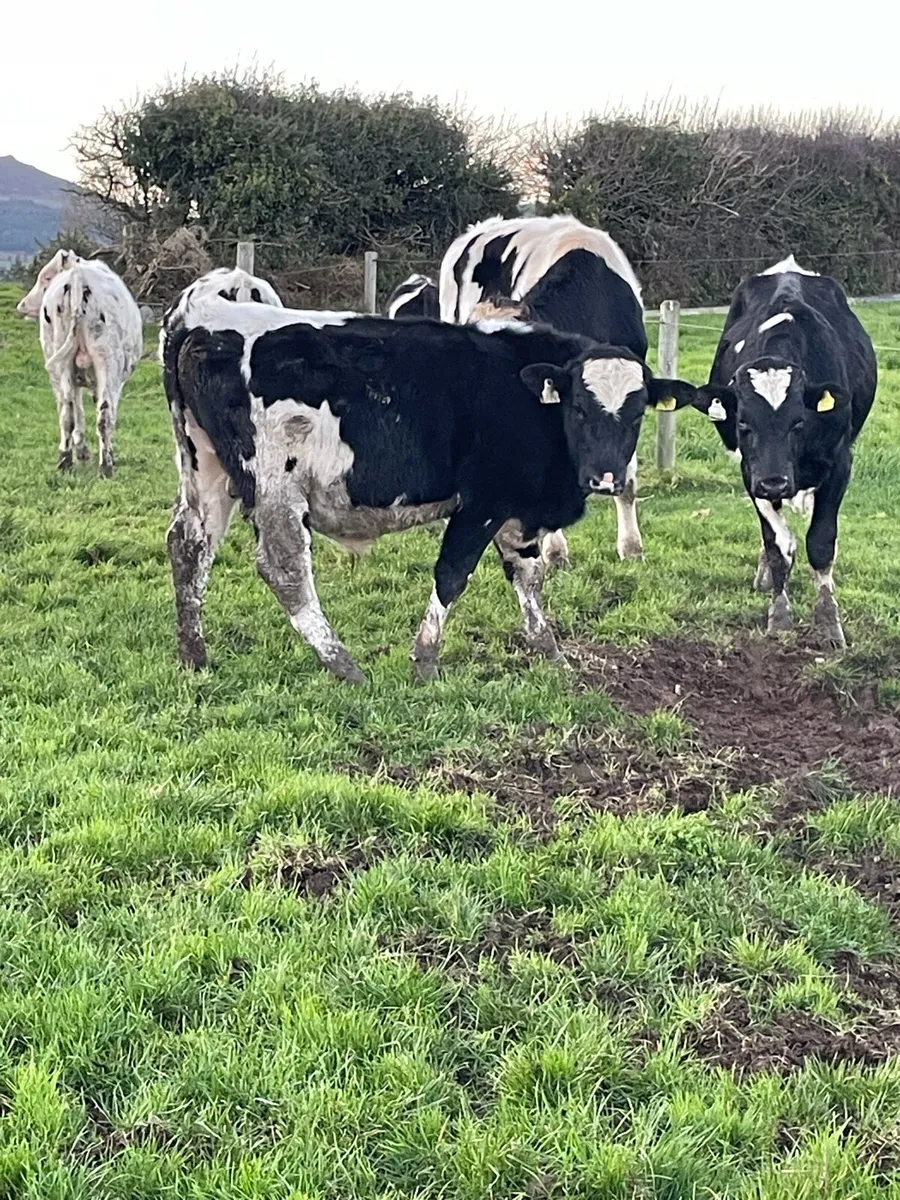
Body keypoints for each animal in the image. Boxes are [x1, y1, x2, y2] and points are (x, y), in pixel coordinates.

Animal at [16, 250, 142, 474]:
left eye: (46, 277)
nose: (21, 305)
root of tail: (78, 275)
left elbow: (78, 410)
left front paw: (82, 450)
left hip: (61, 362)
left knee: (67, 411)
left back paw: (65, 460)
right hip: (107, 361)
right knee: (104, 413)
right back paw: (106, 465)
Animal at [162, 295, 697, 682]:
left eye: (637, 414)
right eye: (580, 409)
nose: (605, 478)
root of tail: (197, 317)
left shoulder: (518, 510)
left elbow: (530, 577)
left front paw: (551, 654)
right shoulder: (482, 502)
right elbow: (452, 575)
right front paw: (425, 660)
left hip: (206, 473)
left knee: (189, 546)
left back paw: (194, 655)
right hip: (276, 488)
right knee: (285, 569)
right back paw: (343, 664)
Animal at [689, 255, 877, 648]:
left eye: (798, 422)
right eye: (743, 423)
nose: (774, 483)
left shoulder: (840, 464)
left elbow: (820, 544)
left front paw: (828, 622)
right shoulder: (751, 471)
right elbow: (778, 547)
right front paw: (779, 615)